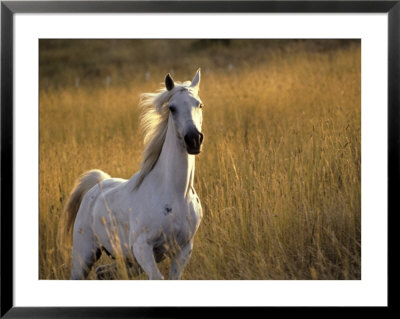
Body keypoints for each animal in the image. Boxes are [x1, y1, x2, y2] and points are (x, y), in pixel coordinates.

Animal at [65, 70, 205, 280]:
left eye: (200, 104)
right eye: (172, 108)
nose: (194, 139)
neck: (175, 194)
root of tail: (98, 185)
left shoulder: (183, 249)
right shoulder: (142, 248)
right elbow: (157, 278)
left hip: (127, 262)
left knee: (102, 272)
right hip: (84, 255)